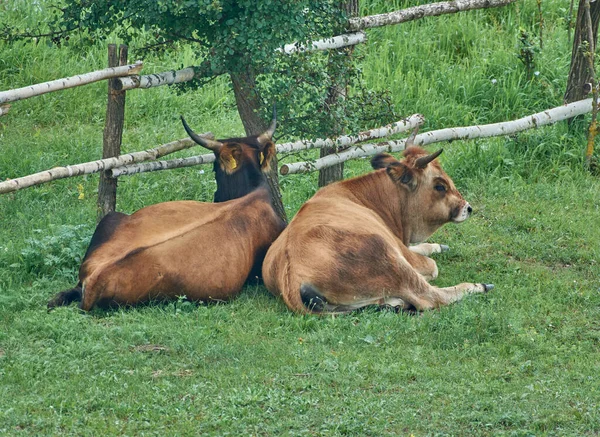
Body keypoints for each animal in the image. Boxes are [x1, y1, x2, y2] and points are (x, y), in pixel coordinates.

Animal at [262, 146, 492, 314]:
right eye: (440, 186)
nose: (467, 207)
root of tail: (292, 280)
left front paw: (436, 245)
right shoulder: (400, 250)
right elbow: (432, 266)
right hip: (389, 260)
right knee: (430, 298)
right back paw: (478, 286)